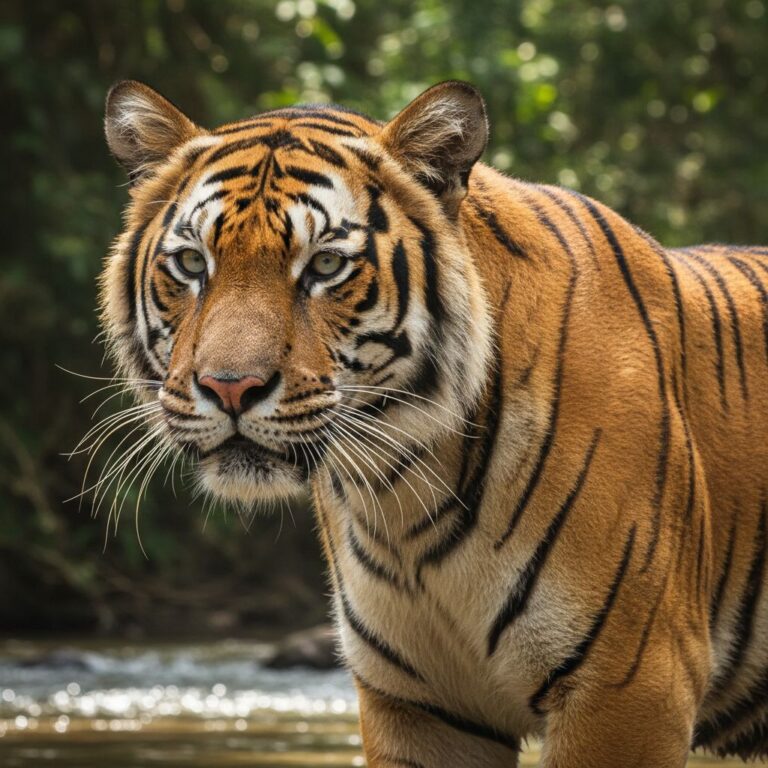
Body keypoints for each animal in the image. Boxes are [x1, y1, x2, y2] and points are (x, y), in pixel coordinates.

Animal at [100, 78, 768, 767]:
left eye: (325, 267)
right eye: (190, 263)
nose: (230, 387)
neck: (402, 494)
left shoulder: (630, 688)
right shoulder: (420, 706)